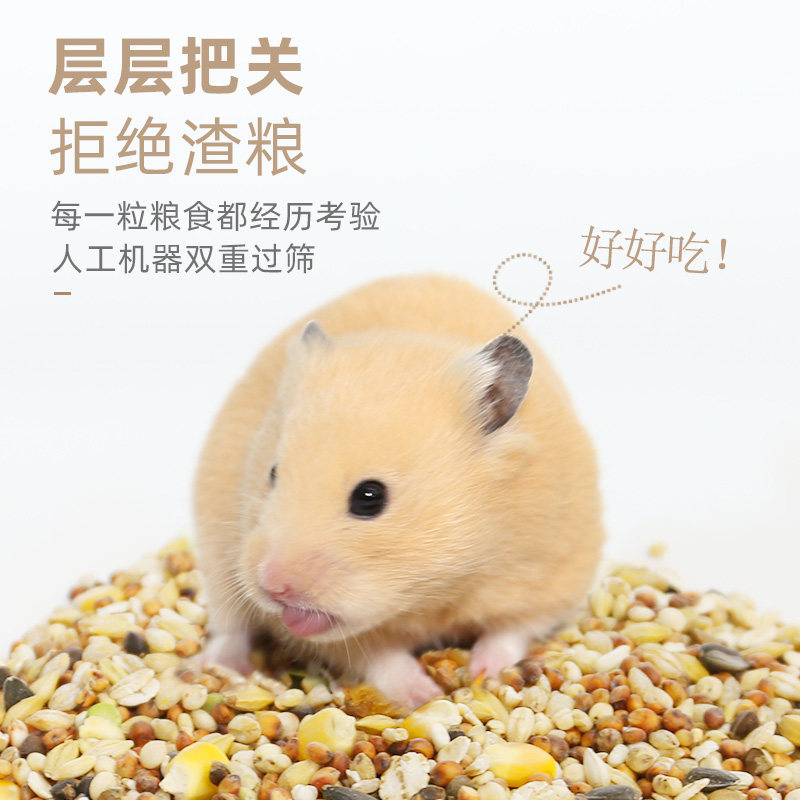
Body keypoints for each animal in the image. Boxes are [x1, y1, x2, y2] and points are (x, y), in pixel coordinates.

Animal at [194, 273, 604, 707]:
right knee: (229, 626)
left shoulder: (552, 573)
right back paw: (213, 667)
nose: (273, 587)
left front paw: (484, 673)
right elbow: (381, 658)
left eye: (369, 497)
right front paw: (425, 696)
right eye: (272, 473)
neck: (435, 591)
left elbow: (511, 630)